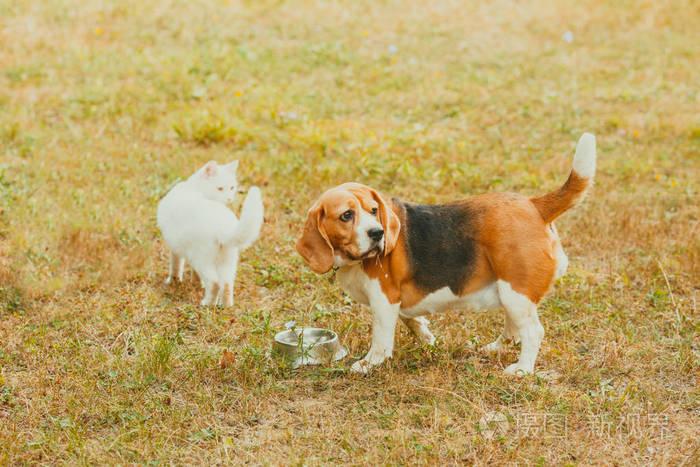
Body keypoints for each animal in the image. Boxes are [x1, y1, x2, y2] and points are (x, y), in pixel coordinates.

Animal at [157, 161, 264, 308]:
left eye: (232, 187)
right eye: (220, 188)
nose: (229, 198)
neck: (194, 188)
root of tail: (223, 227)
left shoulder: (175, 248)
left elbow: (175, 266)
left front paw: (173, 282)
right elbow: (194, 273)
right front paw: (196, 283)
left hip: (202, 259)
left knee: (214, 283)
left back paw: (207, 304)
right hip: (228, 261)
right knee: (226, 285)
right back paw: (226, 306)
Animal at [296, 133, 596, 374]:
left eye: (373, 210)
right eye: (346, 215)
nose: (378, 233)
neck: (353, 260)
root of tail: (535, 205)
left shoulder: (383, 301)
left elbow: (380, 339)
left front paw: (369, 364)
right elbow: (410, 318)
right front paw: (426, 338)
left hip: (516, 292)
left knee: (533, 332)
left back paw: (522, 369)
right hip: (510, 293)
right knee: (513, 330)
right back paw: (496, 348)